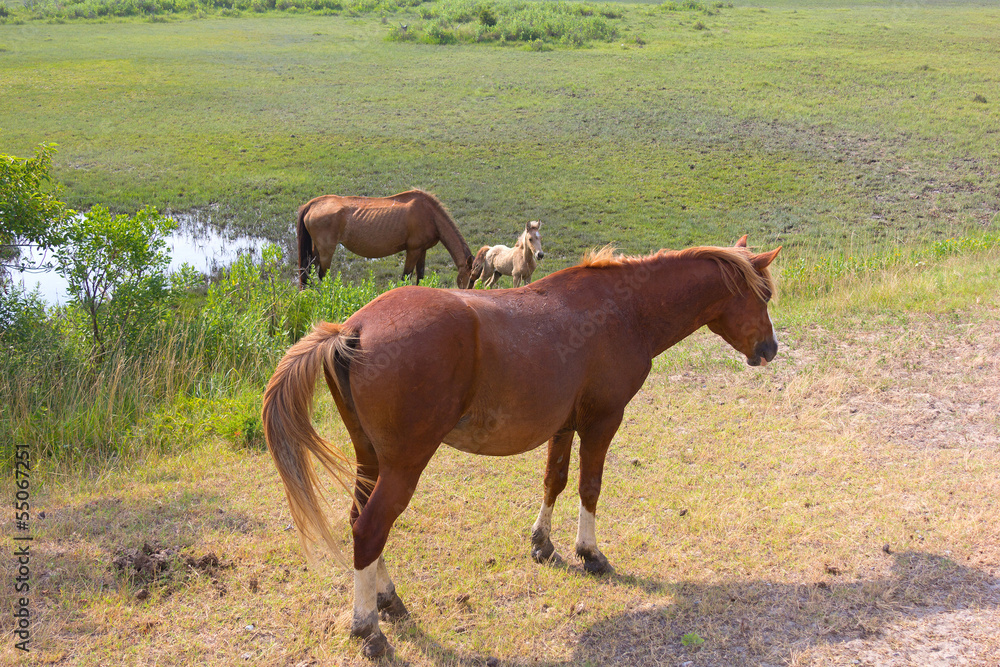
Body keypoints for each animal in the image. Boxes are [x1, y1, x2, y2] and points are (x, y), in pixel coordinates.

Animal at [262, 235, 780, 659]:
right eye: (765, 295)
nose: (771, 348)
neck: (624, 308)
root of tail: (353, 329)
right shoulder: (602, 422)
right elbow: (589, 488)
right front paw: (590, 553)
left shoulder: (564, 426)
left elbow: (555, 481)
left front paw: (543, 544)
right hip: (403, 466)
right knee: (370, 529)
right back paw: (368, 628)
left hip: (371, 459)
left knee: (359, 521)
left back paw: (388, 601)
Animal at [297, 189, 474, 289]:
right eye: (471, 279)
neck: (430, 214)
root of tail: (313, 204)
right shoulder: (413, 250)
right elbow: (405, 277)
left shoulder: (422, 250)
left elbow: (420, 276)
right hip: (327, 250)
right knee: (322, 275)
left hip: (317, 250)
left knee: (308, 271)